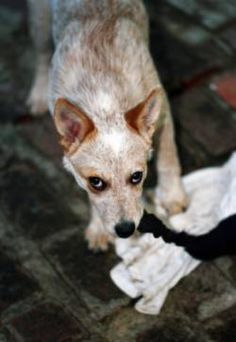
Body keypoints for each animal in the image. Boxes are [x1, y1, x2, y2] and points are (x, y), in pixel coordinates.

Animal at [26, 0, 187, 251]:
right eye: (96, 182)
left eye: (137, 176)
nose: (126, 229)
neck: (105, 100)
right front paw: (99, 229)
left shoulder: (162, 114)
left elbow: (168, 159)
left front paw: (172, 196)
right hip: (39, 19)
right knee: (41, 54)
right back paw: (38, 95)